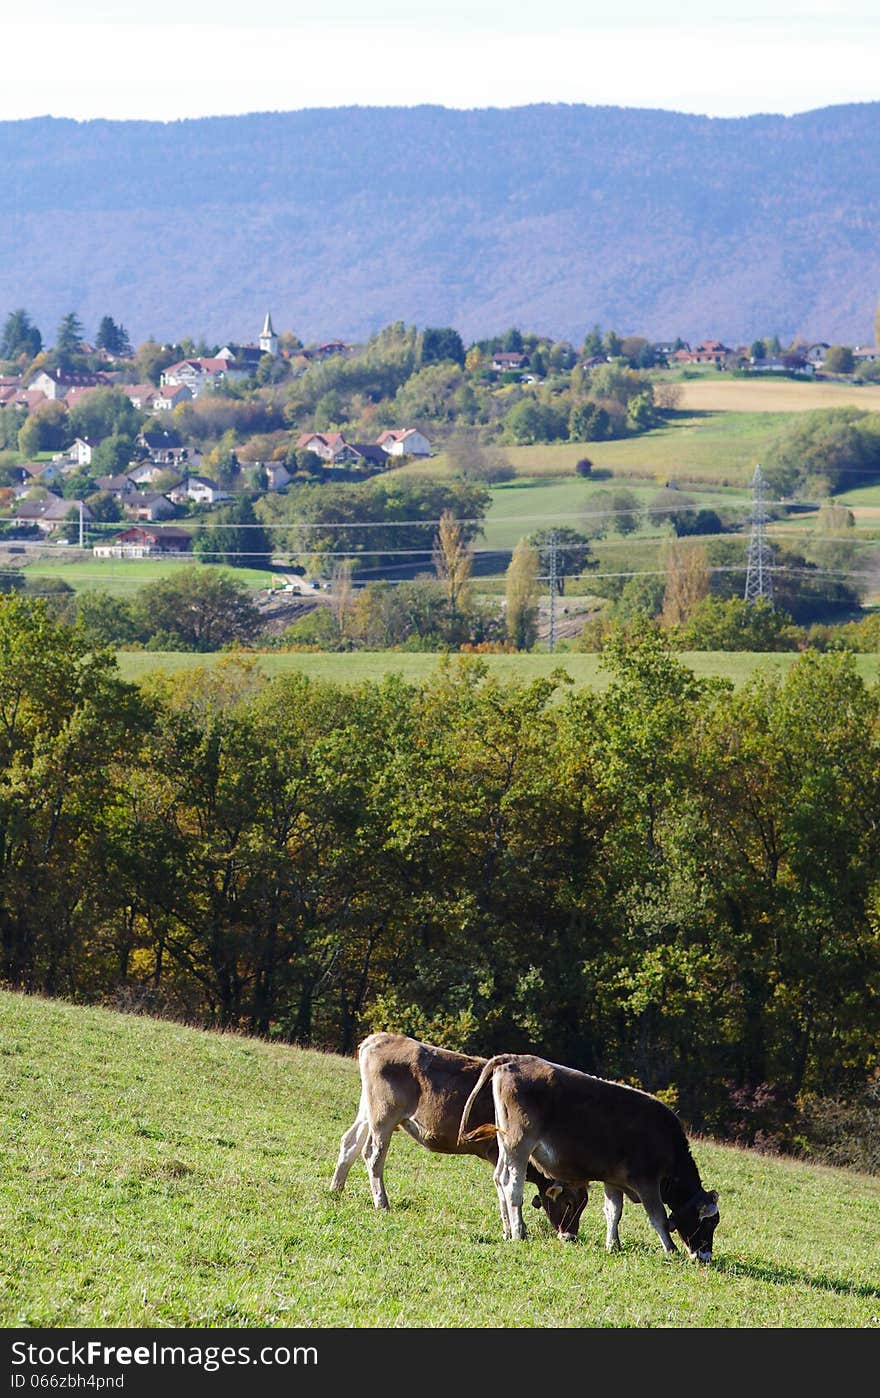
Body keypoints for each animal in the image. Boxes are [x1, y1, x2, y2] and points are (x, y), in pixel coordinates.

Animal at [332, 1028, 587, 1247]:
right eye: (569, 1203)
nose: (571, 1235)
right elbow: (505, 1183)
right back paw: (381, 1202)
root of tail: (379, 1038)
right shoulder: (499, 1151)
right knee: (373, 1155)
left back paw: (336, 1189)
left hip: (367, 1111)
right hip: (383, 1116)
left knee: (349, 1143)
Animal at [456, 1051, 716, 1263]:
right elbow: (658, 1217)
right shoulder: (647, 1182)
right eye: (710, 1222)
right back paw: (519, 1231)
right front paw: (671, 1250)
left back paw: (508, 1230)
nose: (705, 1256)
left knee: (499, 1179)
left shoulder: (613, 1180)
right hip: (519, 1144)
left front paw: (613, 1245)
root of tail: (512, 1058)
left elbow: (613, 1212)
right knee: (512, 1185)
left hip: (506, 1145)